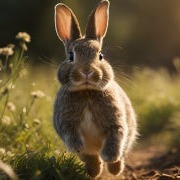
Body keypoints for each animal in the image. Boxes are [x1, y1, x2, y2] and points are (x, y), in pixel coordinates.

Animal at [52, 0, 137, 177]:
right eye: (71, 56)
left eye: (100, 56)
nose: (87, 71)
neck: (87, 93)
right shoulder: (67, 126)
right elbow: (75, 142)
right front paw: (80, 148)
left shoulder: (115, 122)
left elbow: (115, 139)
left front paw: (109, 158)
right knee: (90, 157)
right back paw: (94, 171)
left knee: (120, 153)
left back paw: (114, 169)